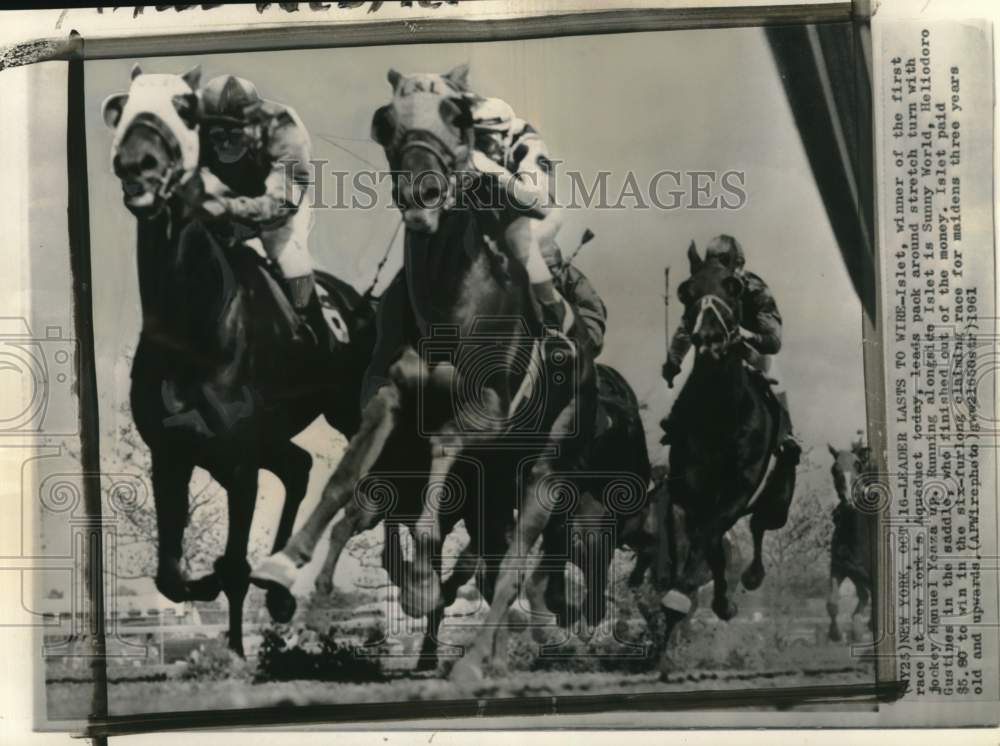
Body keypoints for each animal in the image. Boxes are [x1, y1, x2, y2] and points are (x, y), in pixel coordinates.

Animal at [102, 67, 376, 652]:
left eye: (185, 109)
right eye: (124, 108)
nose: (137, 163)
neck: (193, 328)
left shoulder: (239, 458)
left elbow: (231, 567)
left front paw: (234, 644)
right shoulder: (173, 451)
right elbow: (171, 575)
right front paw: (214, 594)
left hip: (346, 411)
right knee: (297, 465)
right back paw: (277, 589)